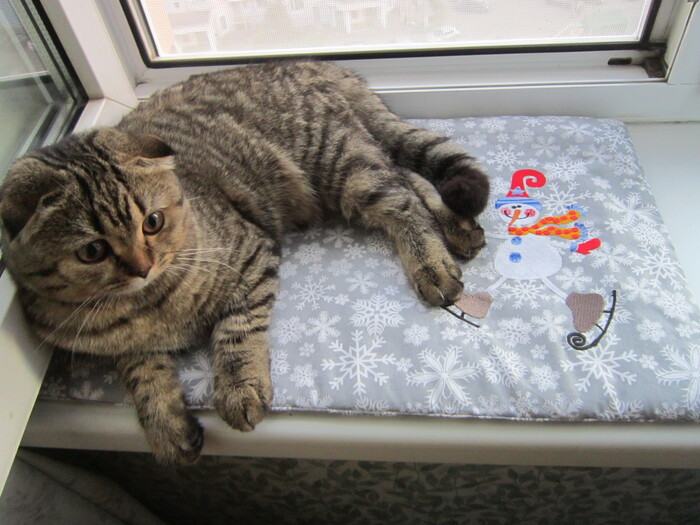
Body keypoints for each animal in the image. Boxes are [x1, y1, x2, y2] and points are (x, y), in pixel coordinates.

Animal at [0, 61, 488, 464]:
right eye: (93, 251)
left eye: (152, 222)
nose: (143, 265)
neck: (150, 304)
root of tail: (310, 63)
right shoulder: (123, 348)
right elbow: (142, 375)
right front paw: (167, 427)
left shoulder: (251, 254)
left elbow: (236, 330)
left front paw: (238, 386)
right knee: (408, 177)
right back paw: (460, 229)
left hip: (341, 166)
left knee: (404, 200)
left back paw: (434, 262)